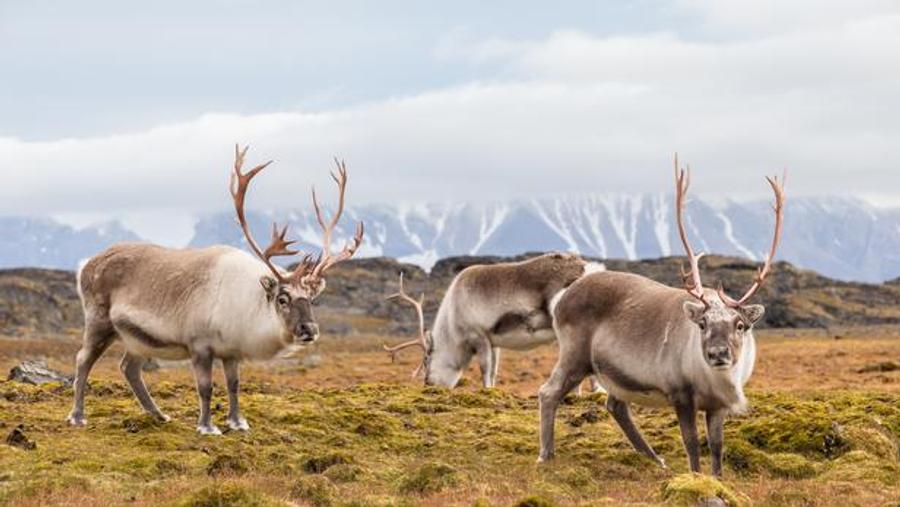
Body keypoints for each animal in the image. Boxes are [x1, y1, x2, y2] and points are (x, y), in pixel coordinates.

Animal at [67, 145, 364, 435]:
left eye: (313, 299)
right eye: (282, 298)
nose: (309, 330)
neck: (247, 303)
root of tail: (86, 266)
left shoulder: (231, 352)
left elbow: (234, 385)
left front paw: (237, 421)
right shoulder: (200, 346)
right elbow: (205, 388)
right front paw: (207, 426)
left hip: (136, 339)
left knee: (129, 368)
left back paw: (159, 415)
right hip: (99, 322)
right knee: (83, 360)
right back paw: (78, 416)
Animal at [383, 253, 606, 390]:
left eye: (426, 360)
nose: (428, 384)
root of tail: (588, 267)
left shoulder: (478, 335)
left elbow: (484, 368)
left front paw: (486, 390)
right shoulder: (494, 342)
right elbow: (494, 369)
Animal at [537, 156, 785, 477]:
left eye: (740, 325)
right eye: (702, 324)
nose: (718, 353)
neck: (713, 380)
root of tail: (563, 297)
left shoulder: (717, 405)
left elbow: (717, 446)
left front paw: (717, 478)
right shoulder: (681, 394)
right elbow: (691, 443)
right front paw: (695, 477)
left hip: (613, 372)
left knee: (615, 406)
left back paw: (654, 458)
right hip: (575, 356)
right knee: (549, 392)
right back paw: (546, 454)